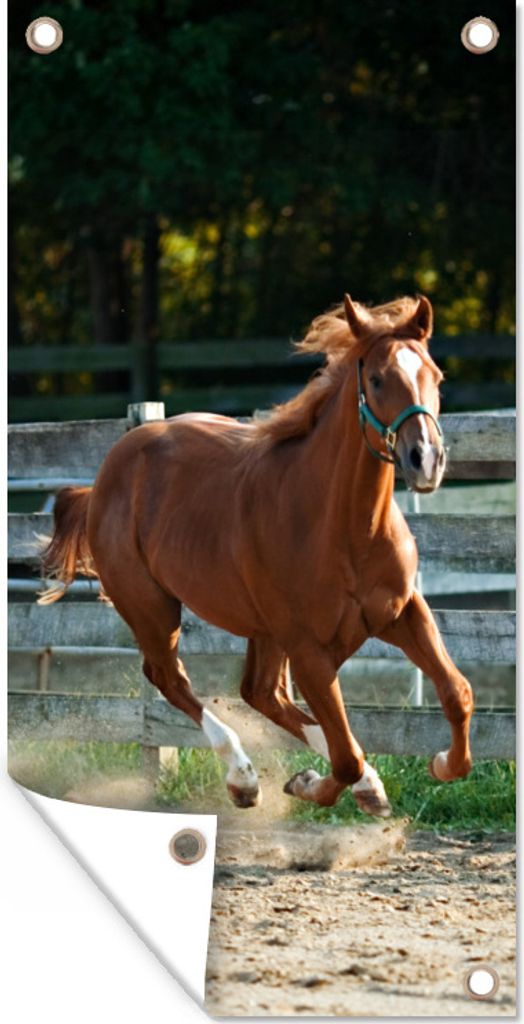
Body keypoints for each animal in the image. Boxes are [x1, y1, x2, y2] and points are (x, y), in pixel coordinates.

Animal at [40, 294, 474, 817]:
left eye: (435, 375)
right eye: (375, 379)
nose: (424, 460)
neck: (346, 529)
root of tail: (106, 475)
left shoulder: (404, 612)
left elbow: (456, 693)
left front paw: (440, 765)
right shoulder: (308, 650)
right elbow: (345, 757)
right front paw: (310, 784)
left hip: (262, 631)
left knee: (260, 692)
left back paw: (356, 784)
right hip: (152, 607)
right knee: (171, 678)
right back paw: (244, 778)